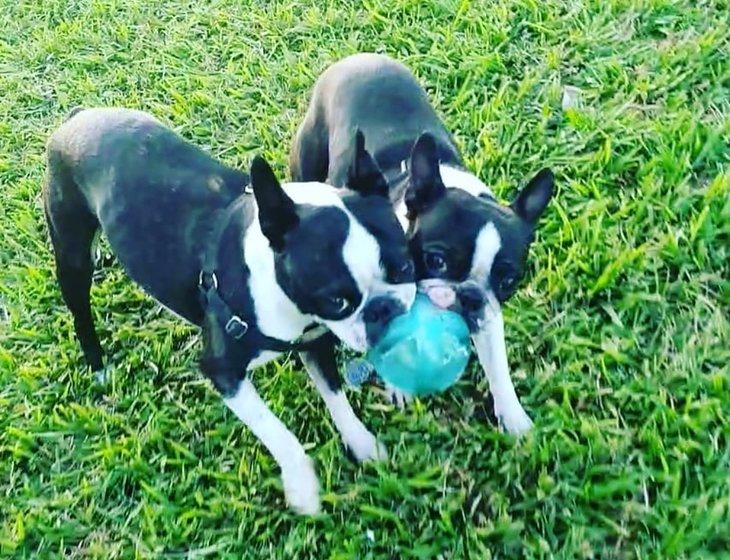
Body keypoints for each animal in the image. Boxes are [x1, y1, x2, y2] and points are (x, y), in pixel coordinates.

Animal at [44, 107, 416, 516]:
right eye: (336, 302)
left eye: (406, 268)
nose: (385, 309)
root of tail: (77, 118)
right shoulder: (223, 373)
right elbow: (278, 433)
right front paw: (302, 487)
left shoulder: (314, 343)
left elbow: (336, 398)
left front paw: (363, 445)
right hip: (71, 250)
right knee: (80, 308)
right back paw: (97, 365)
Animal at [290, 54, 552, 436]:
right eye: (436, 260)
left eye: (508, 281)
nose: (468, 296)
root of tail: (358, 58)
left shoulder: (488, 316)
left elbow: (498, 364)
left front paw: (515, 418)